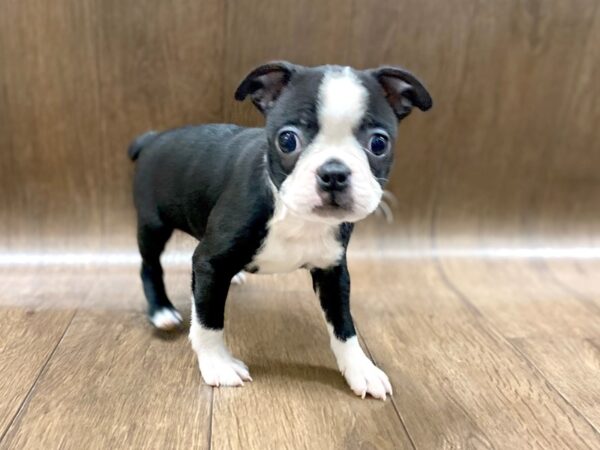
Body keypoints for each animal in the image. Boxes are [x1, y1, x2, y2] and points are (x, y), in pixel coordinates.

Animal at [130, 61, 432, 400]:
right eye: (287, 140)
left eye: (379, 144)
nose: (334, 173)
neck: (293, 214)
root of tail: (152, 138)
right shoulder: (209, 261)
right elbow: (209, 320)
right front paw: (218, 364)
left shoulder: (332, 270)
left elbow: (343, 323)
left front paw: (360, 369)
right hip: (153, 225)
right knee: (150, 265)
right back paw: (161, 311)